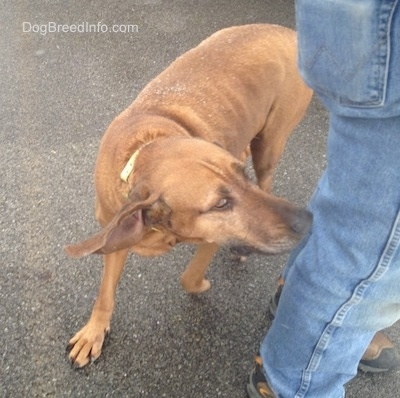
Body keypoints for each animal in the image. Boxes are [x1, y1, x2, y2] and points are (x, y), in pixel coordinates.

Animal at [65, 24, 312, 366]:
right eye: (220, 203)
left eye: (242, 176)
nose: (306, 220)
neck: (146, 149)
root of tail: (287, 31)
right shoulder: (116, 236)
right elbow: (105, 294)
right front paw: (94, 332)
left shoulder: (212, 239)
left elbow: (190, 279)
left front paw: (204, 283)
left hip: (270, 146)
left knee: (267, 180)